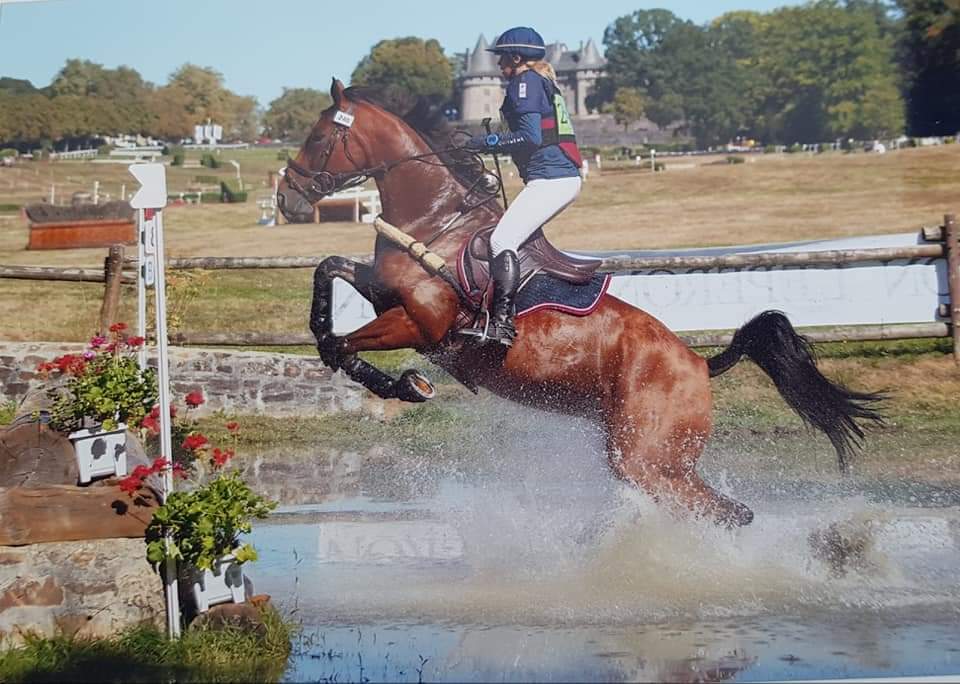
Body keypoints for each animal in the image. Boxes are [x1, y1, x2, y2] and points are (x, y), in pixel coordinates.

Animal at [274, 81, 880, 528]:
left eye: (319, 136)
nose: (288, 199)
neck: (436, 221)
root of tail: (699, 364)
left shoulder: (420, 323)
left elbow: (344, 344)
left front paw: (401, 384)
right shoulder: (383, 293)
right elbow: (327, 269)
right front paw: (358, 354)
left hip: (645, 458)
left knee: (723, 512)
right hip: (647, 456)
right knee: (724, 511)